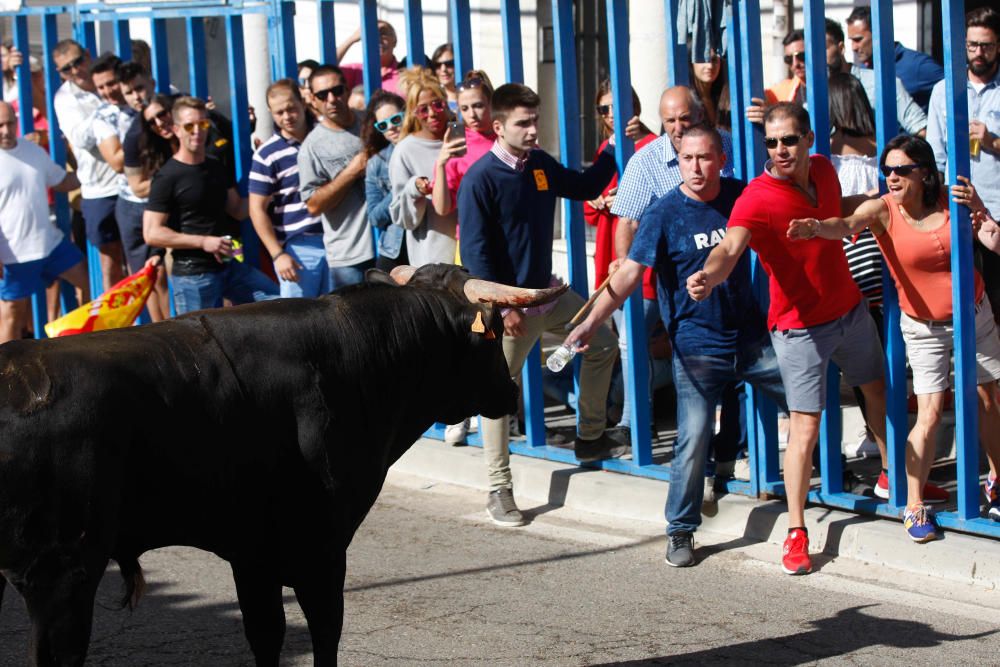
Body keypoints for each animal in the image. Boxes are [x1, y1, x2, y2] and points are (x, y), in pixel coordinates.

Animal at [0, 264, 568, 664]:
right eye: (490, 334)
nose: (510, 392)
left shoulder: (252, 551)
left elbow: (267, 635)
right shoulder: (320, 547)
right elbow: (324, 634)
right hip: (62, 572)